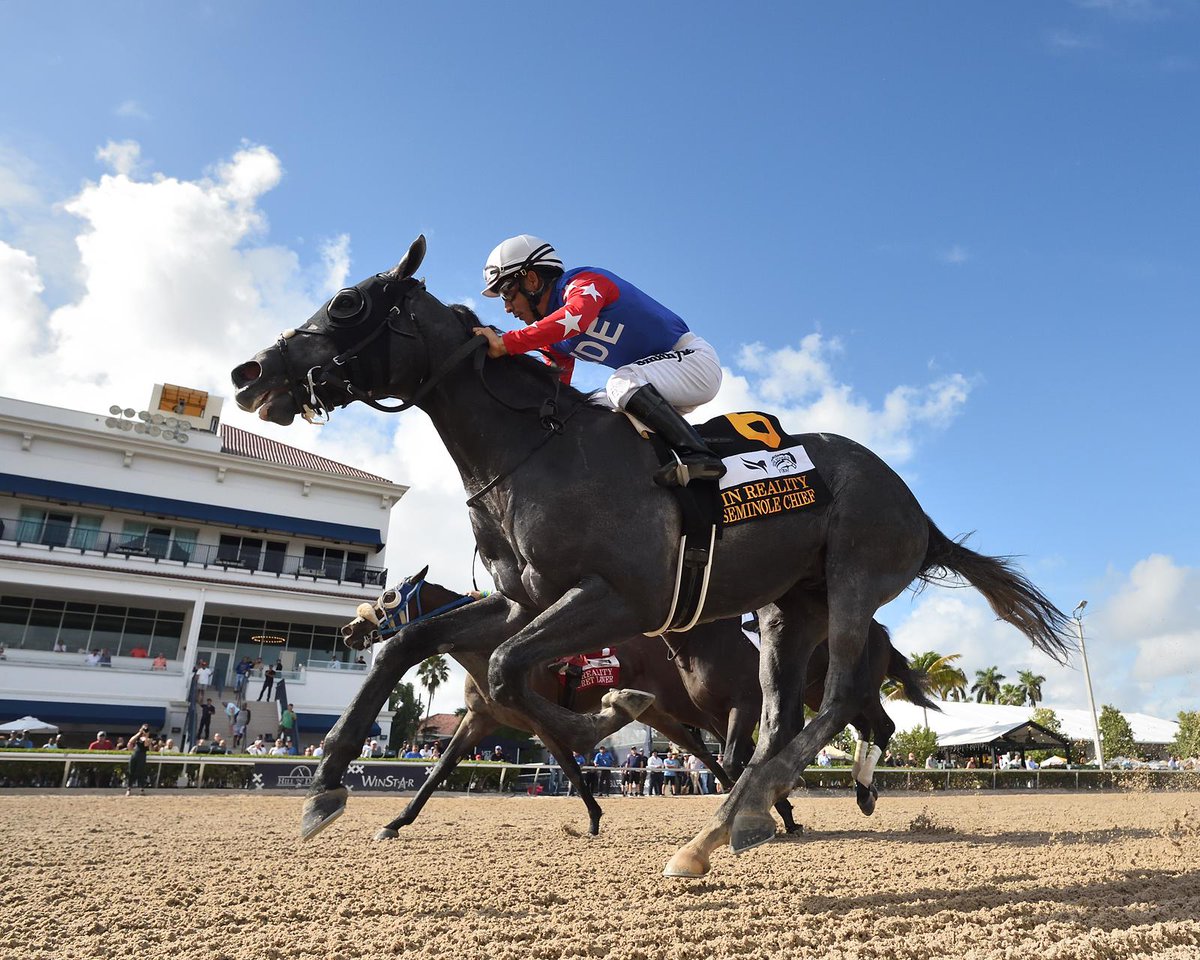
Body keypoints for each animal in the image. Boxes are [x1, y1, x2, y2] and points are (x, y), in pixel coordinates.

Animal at [231, 234, 1070, 878]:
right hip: (789, 609)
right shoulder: (525, 598)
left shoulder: (618, 596)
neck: (537, 453)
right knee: (778, 721)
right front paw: (325, 785)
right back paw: (729, 825)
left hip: (854, 578)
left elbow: (512, 676)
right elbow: (412, 646)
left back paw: (745, 816)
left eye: (347, 303)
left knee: (835, 703)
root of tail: (917, 510)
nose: (250, 373)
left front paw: (607, 716)